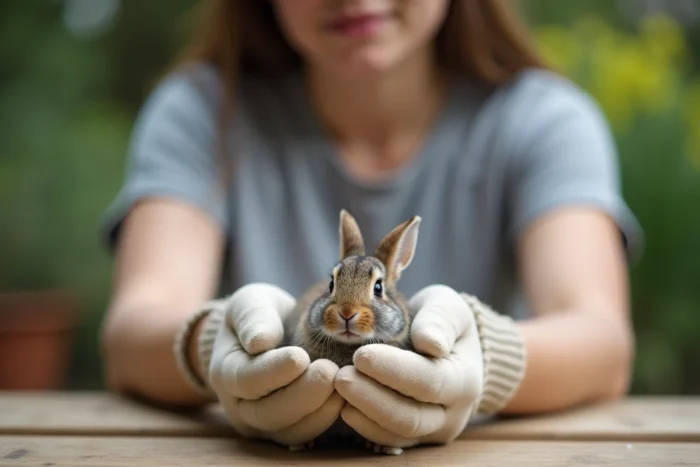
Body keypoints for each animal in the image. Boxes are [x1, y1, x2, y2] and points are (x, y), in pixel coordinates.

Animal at [282, 209, 422, 455]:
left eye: (378, 288)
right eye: (331, 284)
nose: (346, 313)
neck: (349, 346)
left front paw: (381, 445)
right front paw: (303, 442)